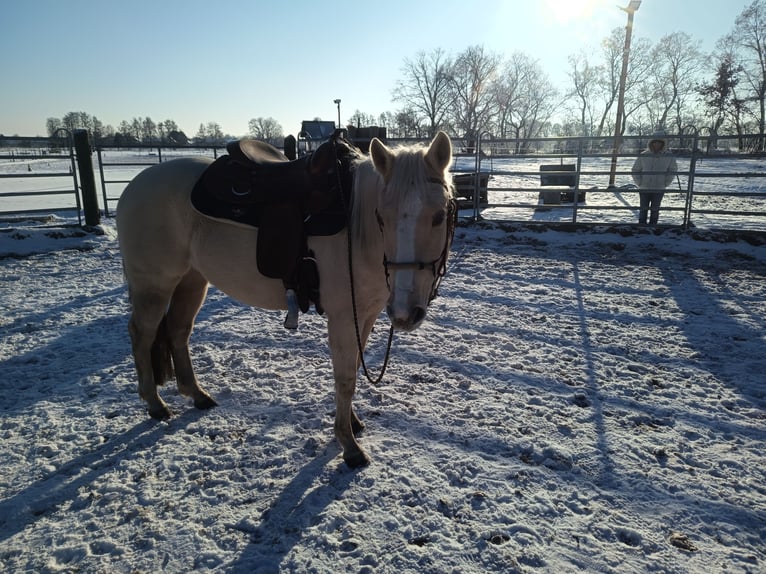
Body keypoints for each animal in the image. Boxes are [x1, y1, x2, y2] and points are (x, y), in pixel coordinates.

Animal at [115, 131, 455, 468]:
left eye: (439, 216)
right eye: (381, 217)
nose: (404, 313)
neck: (357, 228)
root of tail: (135, 186)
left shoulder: (366, 314)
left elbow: (355, 370)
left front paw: (353, 424)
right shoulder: (344, 317)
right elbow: (345, 378)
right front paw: (349, 445)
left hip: (192, 281)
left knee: (178, 330)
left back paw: (196, 394)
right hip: (154, 285)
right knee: (142, 335)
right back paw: (155, 403)